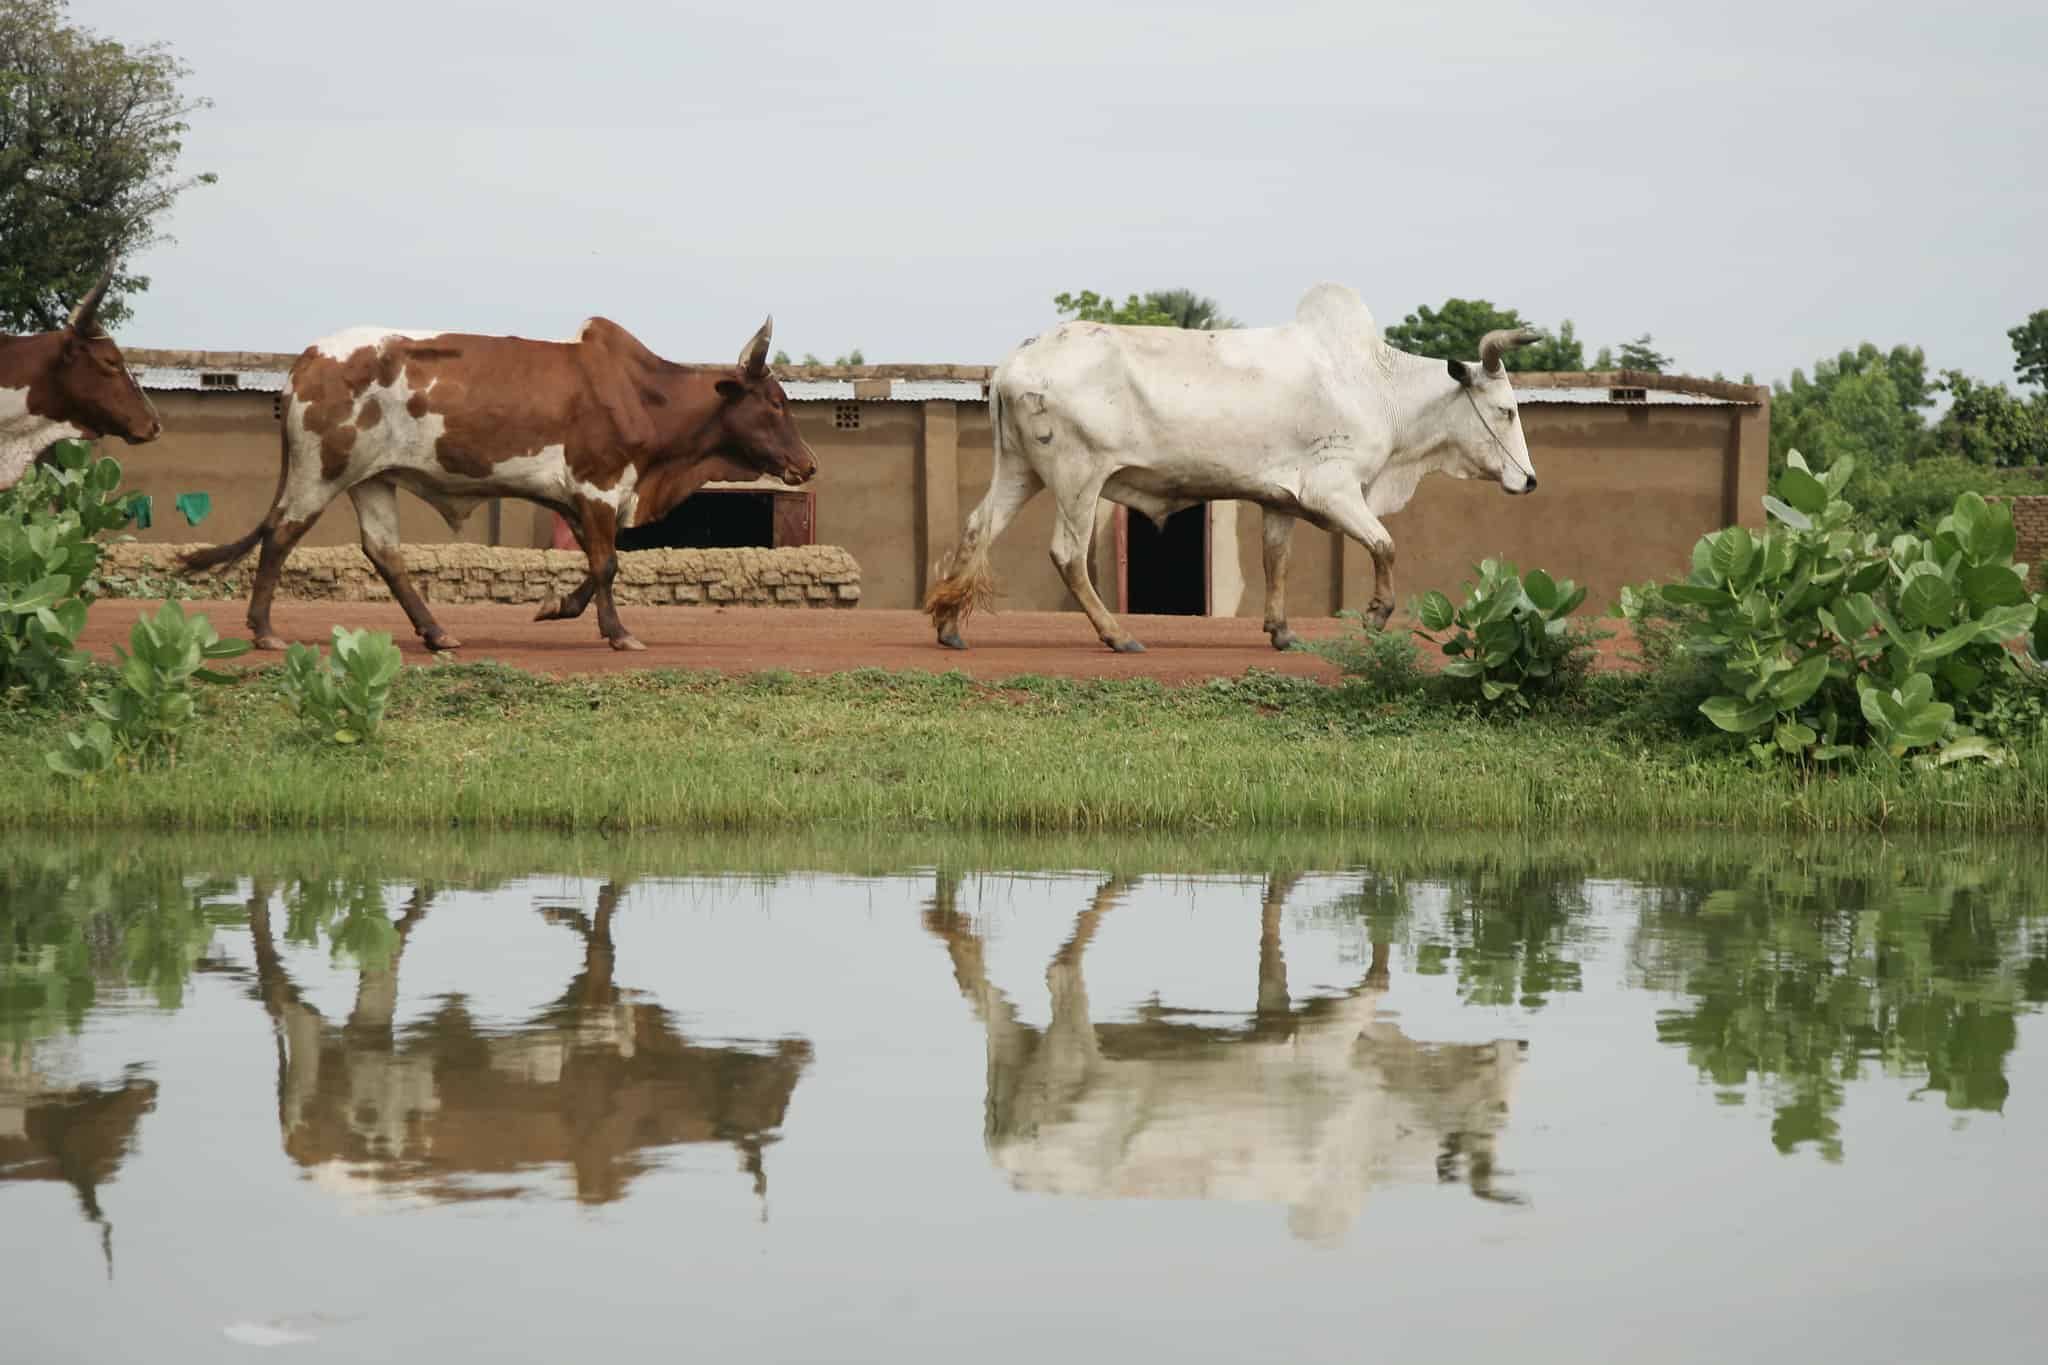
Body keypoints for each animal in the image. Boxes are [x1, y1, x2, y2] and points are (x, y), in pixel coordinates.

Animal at [178, 315, 815, 650]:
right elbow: (607, 564)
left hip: (372, 479)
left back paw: (437, 633)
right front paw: (617, 633)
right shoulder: (597, 488)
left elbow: (595, 567)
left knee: (383, 552)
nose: (808, 465)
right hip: (322, 472)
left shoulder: (584, 499)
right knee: (280, 537)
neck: (643, 398)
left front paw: (556, 607)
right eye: (776, 404)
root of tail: (306, 360)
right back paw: (264, 631)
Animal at [925, 280, 1540, 654]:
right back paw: (1118, 635)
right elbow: (1385, 546)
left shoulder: (1279, 501)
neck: (1377, 386)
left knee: (978, 529)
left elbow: (1276, 562)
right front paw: (1374, 615)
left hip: (1021, 470)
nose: (1529, 479)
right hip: (1079, 477)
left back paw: (951, 627)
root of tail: (1015, 362)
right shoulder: (1334, 491)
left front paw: (1281, 632)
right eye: (1506, 410)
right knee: (1068, 555)